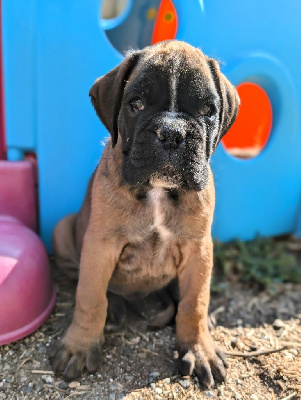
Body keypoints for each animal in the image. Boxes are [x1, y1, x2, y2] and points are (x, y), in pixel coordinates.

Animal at [51, 40, 239, 388]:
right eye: (136, 104)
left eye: (207, 111)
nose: (172, 133)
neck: (158, 192)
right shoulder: (99, 247)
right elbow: (90, 298)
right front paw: (79, 347)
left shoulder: (199, 249)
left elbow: (194, 303)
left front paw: (199, 349)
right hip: (61, 229)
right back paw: (115, 309)